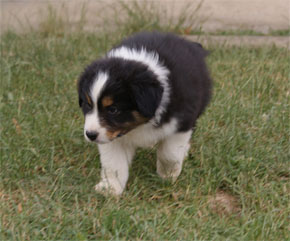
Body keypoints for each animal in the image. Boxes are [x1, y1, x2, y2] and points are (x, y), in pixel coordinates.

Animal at [78, 31, 212, 195]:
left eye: (113, 110)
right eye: (88, 105)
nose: (90, 135)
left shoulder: (182, 121)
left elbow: (169, 152)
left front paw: (167, 176)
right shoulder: (112, 135)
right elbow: (113, 162)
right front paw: (111, 188)